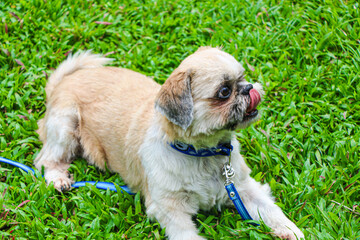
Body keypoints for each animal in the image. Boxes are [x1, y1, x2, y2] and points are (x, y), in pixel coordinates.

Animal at [34, 47, 304, 240]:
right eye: (225, 92)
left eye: (243, 78)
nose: (249, 88)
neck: (203, 153)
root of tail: (63, 81)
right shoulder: (168, 207)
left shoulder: (242, 187)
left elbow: (270, 210)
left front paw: (290, 230)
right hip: (65, 124)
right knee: (46, 159)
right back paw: (58, 178)